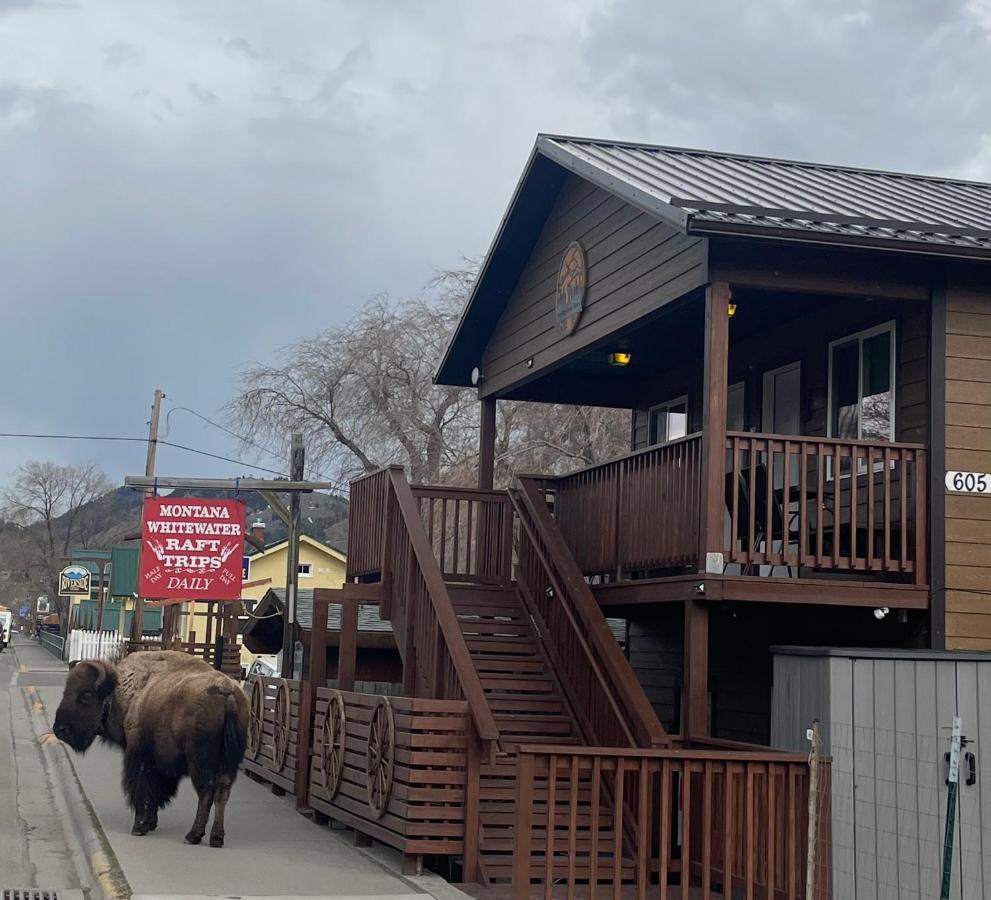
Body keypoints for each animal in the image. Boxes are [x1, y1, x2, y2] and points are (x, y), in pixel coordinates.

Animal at [52, 652, 250, 848]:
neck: (124, 692)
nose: (60, 729)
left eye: (86, 694)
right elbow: (154, 791)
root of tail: (226, 691)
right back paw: (216, 837)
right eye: (65, 691)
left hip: (200, 763)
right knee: (222, 793)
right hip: (228, 763)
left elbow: (141, 788)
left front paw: (139, 826)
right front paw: (151, 823)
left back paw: (193, 835)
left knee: (206, 793)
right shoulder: (158, 764)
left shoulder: (139, 756)